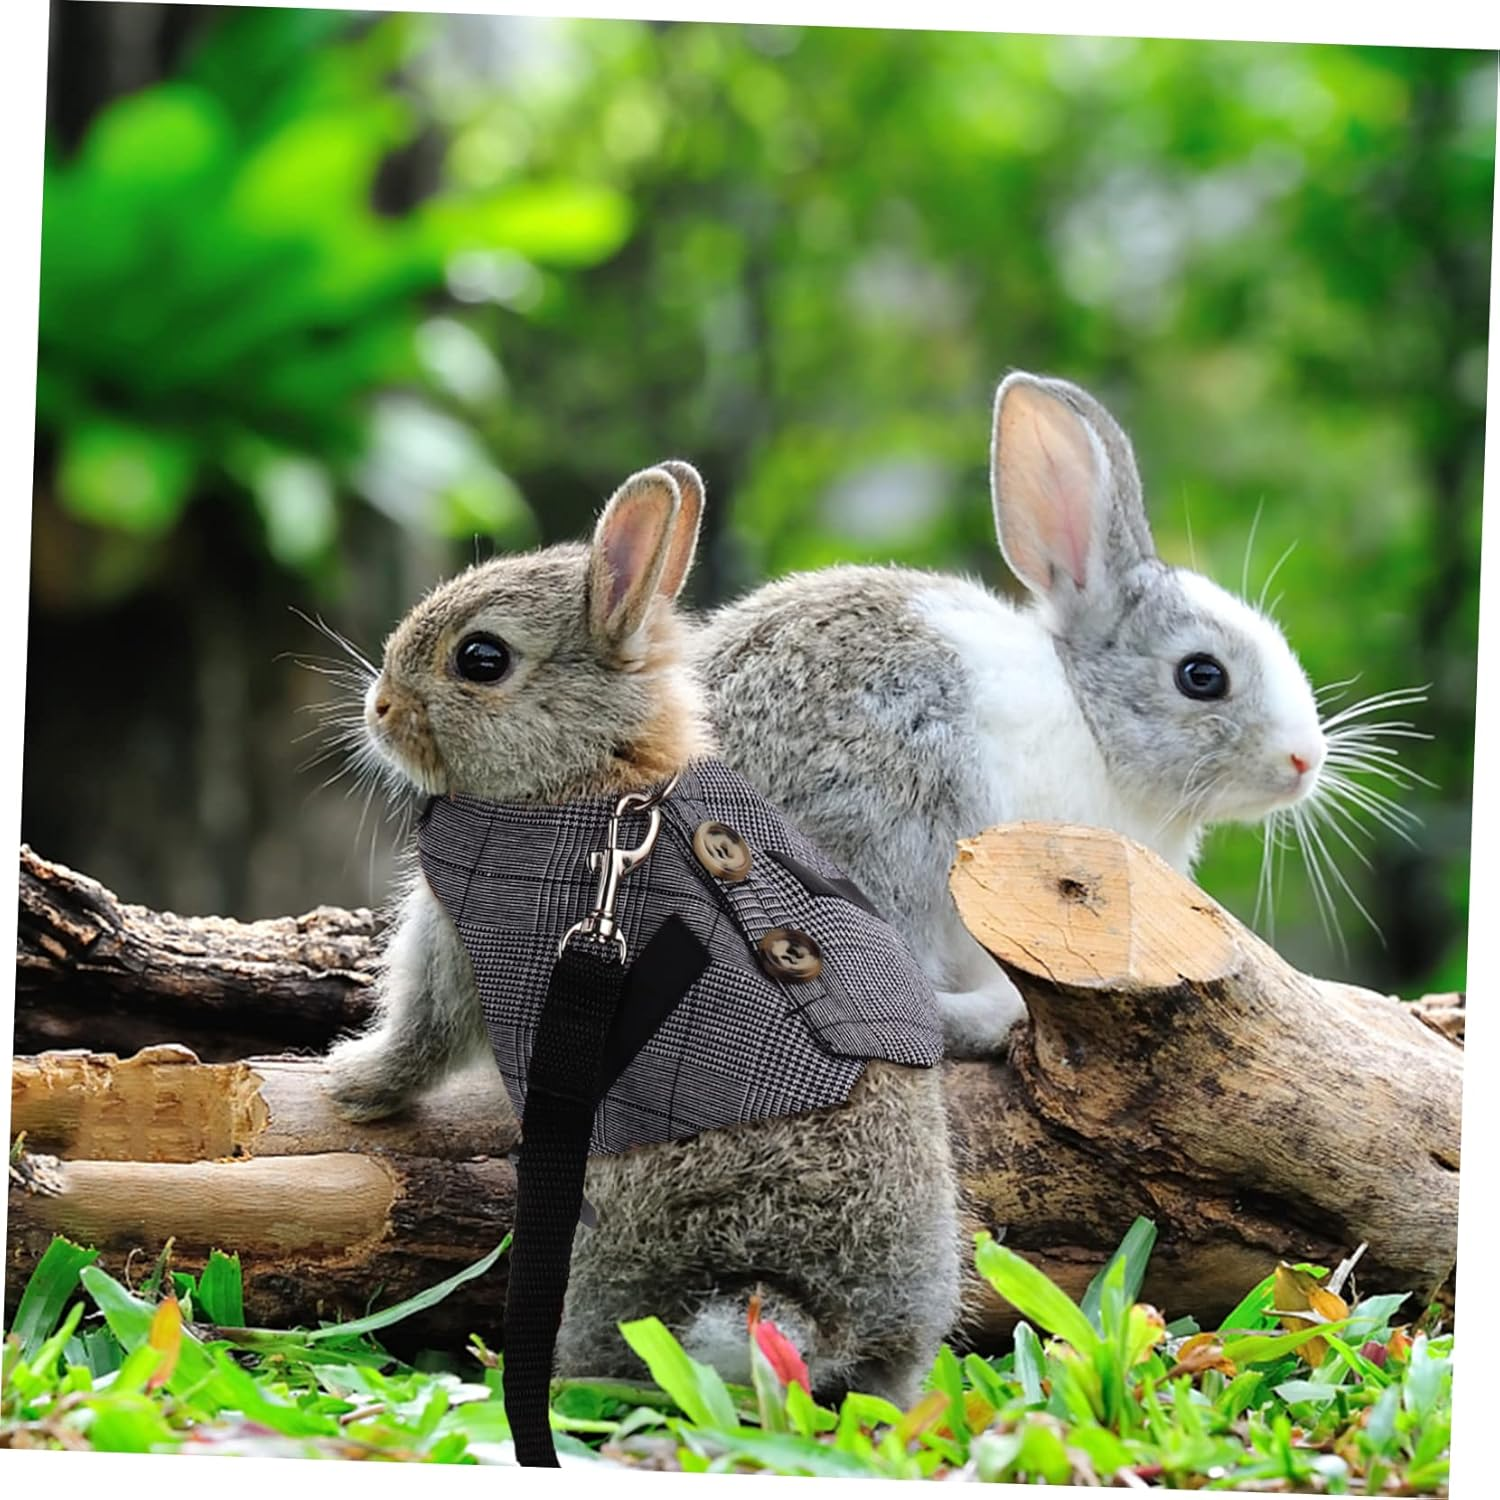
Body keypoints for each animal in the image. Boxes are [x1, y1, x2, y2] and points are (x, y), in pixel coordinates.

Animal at [322, 461, 961, 1409]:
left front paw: (351, 1085)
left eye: (481, 659)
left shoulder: (458, 941)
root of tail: (814, 1309)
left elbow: (424, 1036)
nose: (381, 707)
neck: (593, 769)